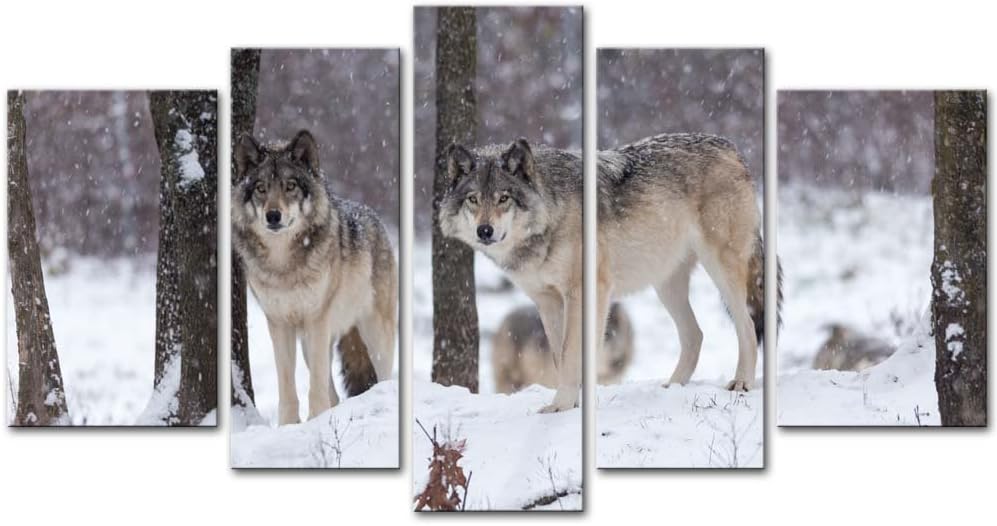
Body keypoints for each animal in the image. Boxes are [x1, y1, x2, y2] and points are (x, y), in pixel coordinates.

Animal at [232, 130, 397, 425]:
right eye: (261, 188)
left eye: (290, 186)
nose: (273, 215)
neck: (283, 264)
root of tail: (372, 215)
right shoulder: (278, 324)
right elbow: (287, 385)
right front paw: (290, 426)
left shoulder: (317, 320)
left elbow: (316, 387)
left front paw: (314, 420)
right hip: (311, 343)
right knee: (334, 393)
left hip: (375, 334)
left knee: (383, 378)